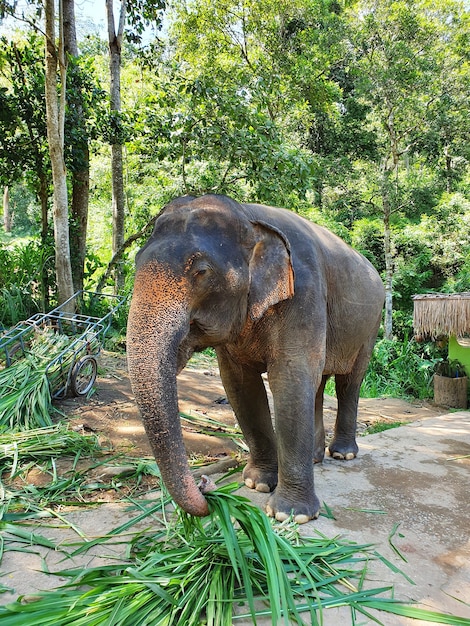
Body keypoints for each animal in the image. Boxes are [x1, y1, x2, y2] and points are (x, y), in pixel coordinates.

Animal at [126, 194, 384, 520]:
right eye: (136, 262)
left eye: (202, 272)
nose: (206, 486)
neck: (249, 216)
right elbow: (240, 386)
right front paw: (258, 484)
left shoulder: (305, 291)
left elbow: (289, 377)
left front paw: (291, 514)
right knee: (318, 385)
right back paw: (315, 457)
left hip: (370, 325)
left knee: (349, 382)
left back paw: (342, 454)